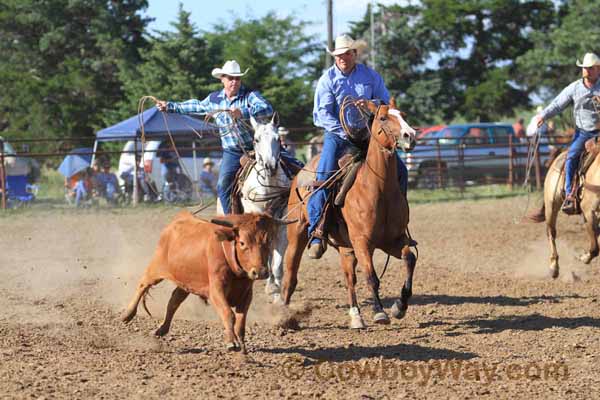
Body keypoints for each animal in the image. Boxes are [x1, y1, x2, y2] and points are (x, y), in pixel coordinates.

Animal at [120, 211, 290, 352]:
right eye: (242, 242)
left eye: (268, 241)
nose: (260, 272)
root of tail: (179, 218)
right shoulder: (216, 290)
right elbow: (228, 314)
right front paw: (231, 342)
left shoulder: (247, 294)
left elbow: (241, 322)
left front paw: (242, 345)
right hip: (156, 267)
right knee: (143, 284)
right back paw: (128, 314)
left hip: (186, 283)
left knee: (174, 300)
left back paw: (162, 328)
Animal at [217, 115, 292, 304]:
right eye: (256, 139)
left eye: (278, 139)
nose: (270, 165)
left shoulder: (280, 227)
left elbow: (277, 265)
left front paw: (277, 296)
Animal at [282, 97, 418, 328]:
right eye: (383, 117)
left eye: (403, 115)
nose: (410, 135)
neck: (378, 189)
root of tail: (301, 171)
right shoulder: (362, 242)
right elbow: (371, 277)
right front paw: (379, 312)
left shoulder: (393, 240)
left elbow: (410, 259)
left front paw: (399, 306)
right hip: (297, 233)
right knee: (290, 273)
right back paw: (283, 316)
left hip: (346, 247)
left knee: (348, 278)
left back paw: (356, 316)